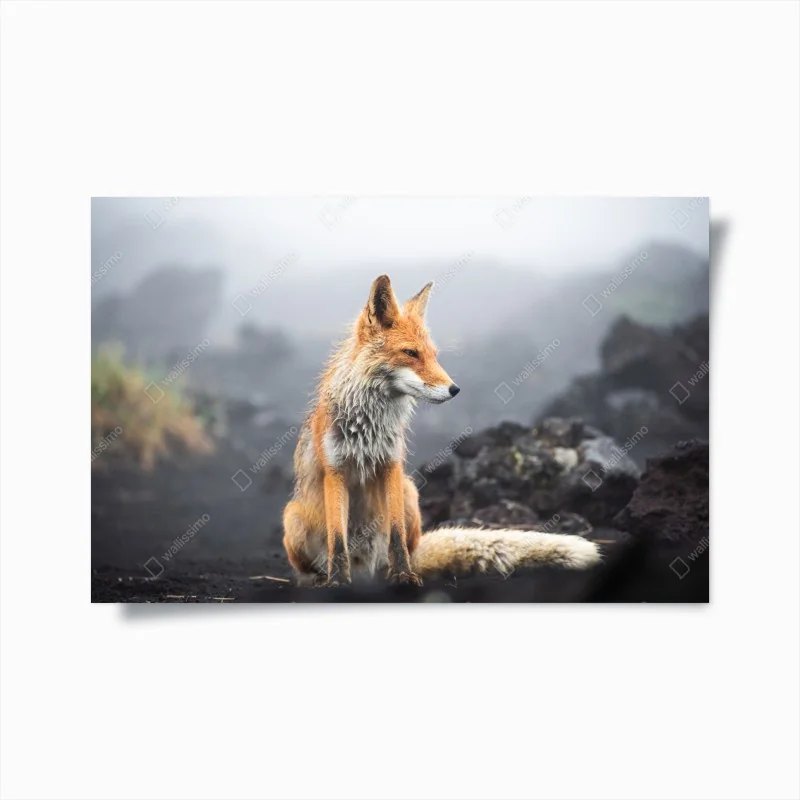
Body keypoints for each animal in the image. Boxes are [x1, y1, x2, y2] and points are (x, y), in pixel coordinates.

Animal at [282, 274, 601, 587]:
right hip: (292, 517)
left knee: (403, 551)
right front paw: (337, 581)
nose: (455, 389)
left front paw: (403, 576)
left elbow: (396, 535)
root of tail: (365, 572)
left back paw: (392, 573)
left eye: (433, 355)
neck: (368, 427)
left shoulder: (391, 465)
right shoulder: (335, 470)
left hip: (409, 493)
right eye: (410, 353)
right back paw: (320, 580)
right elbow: (338, 539)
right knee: (310, 567)